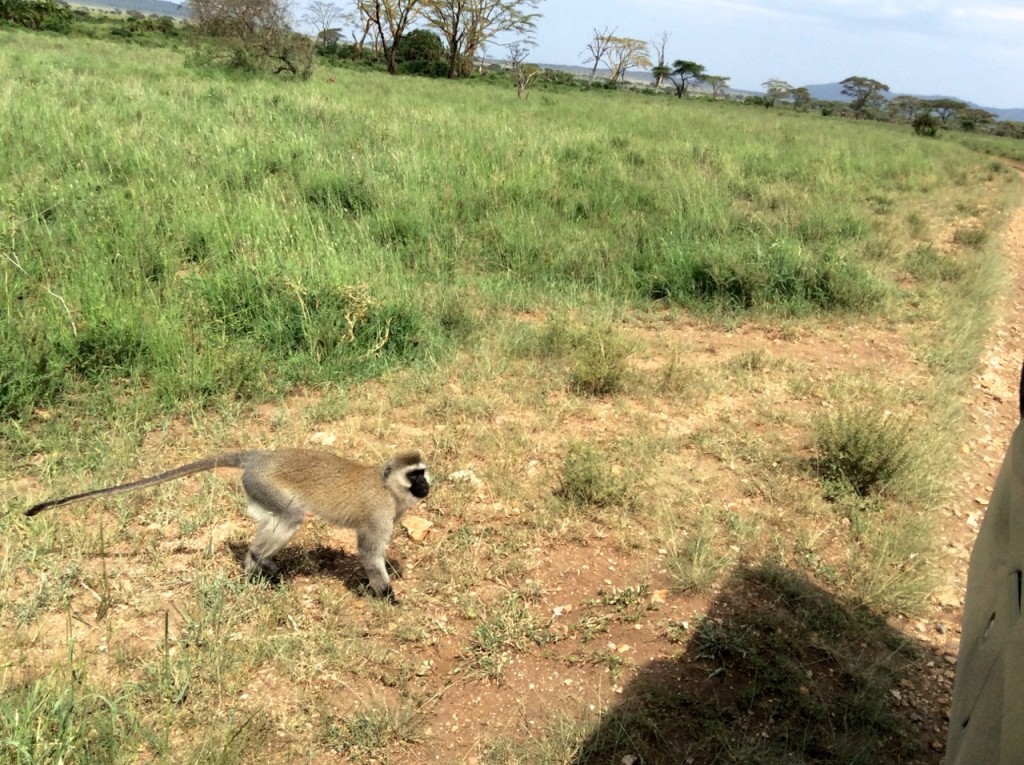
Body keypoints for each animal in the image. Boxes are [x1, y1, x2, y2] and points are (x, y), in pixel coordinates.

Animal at [25, 452, 430, 602]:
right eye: (415, 475)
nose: (427, 486)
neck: (387, 487)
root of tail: (260, 457)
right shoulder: (378, 513)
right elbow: (369, 551)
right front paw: (386, 594)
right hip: (266, 485)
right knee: (291, 518)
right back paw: (257, 563)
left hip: (258, 492)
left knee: (273, 521)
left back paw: (258, 566)